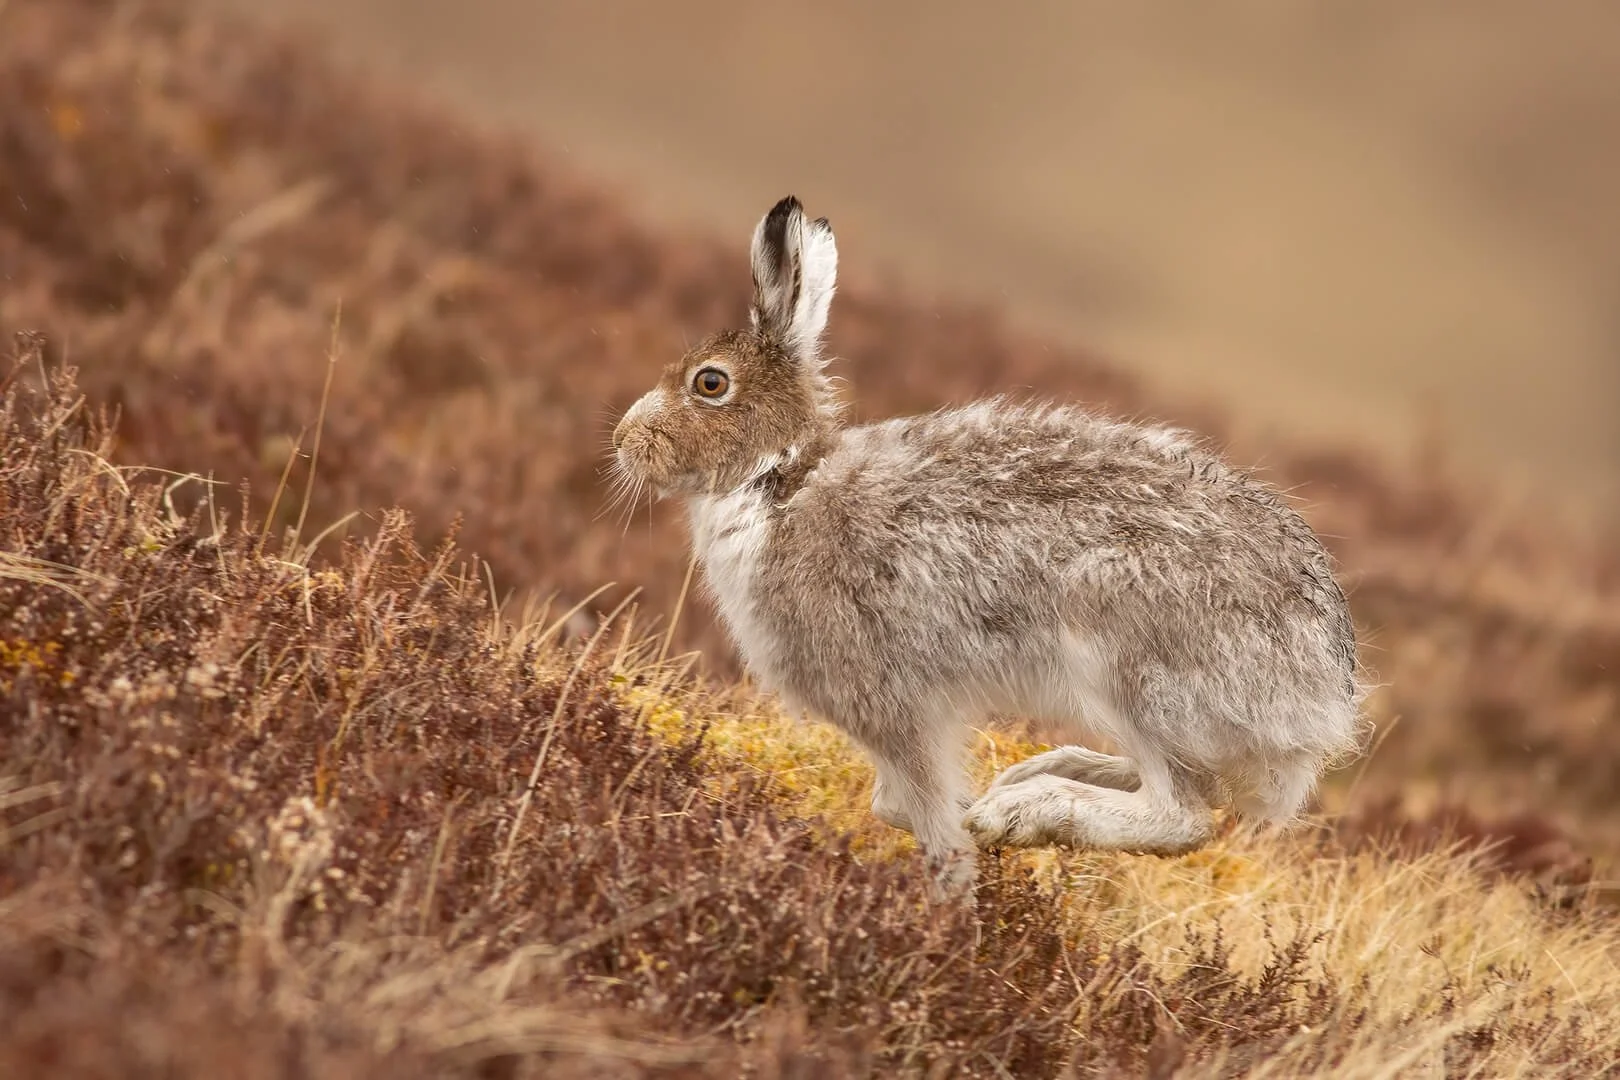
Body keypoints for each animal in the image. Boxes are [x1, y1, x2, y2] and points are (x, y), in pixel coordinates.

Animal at [611, 195, 1366, 898]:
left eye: (709, 383)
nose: (623, 441)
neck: (780, 478)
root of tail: (1325, 694)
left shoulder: (890, 703)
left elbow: (924, 810)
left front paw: (951, 899)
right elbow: (895, 804)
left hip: (1127, 657)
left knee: (1179, 816)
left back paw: (1025, 811)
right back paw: (1036, 775)